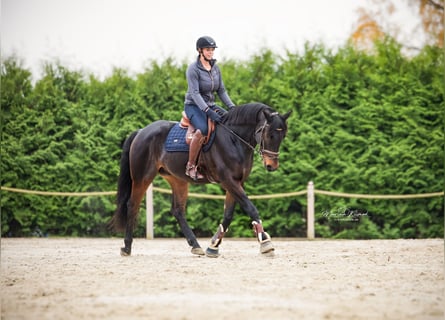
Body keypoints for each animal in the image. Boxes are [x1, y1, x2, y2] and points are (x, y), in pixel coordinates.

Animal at [110, 102, 290, 258]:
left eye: (283, 135)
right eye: (269, 134)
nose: (271, 165)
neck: (234, 139)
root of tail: (141, 131)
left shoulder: (237, 182)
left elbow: (228, 214)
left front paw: (213, 245)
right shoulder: (229, 181)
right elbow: (250, 208)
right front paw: (265, 242)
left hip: (178, 180)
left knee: (178, 210)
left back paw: (195, 245)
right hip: (142, 177)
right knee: (132, 205)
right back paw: (127, 246)